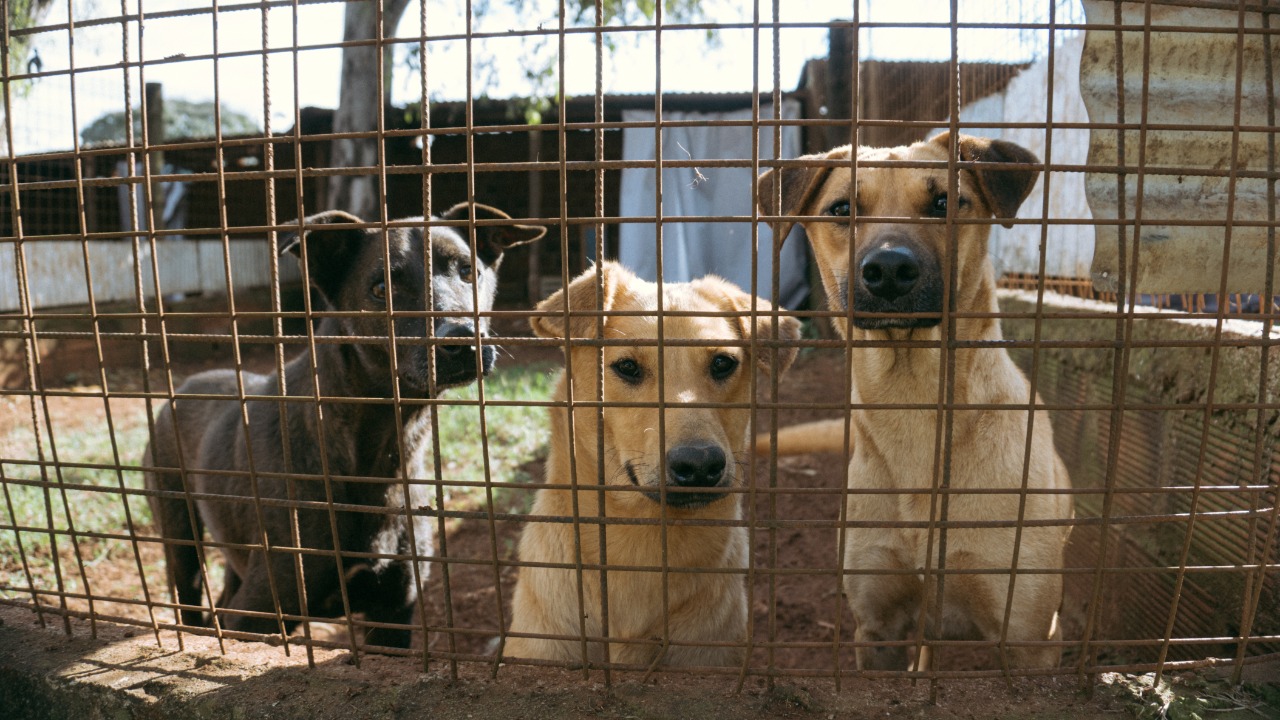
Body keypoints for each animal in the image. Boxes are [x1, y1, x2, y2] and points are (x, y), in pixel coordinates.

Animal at [146, 199, 545, 645]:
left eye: (468, 271)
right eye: (381, 289)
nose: (462, 340)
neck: (375, 454)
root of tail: (186, 384)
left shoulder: (394, 612)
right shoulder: (260, 613)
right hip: (179, 536)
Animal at [752, 130, 1075, 666]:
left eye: (945, 201)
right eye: (843, 209)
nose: (887, 268)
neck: (915, 404)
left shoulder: (1030, 638)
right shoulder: (877, 625)